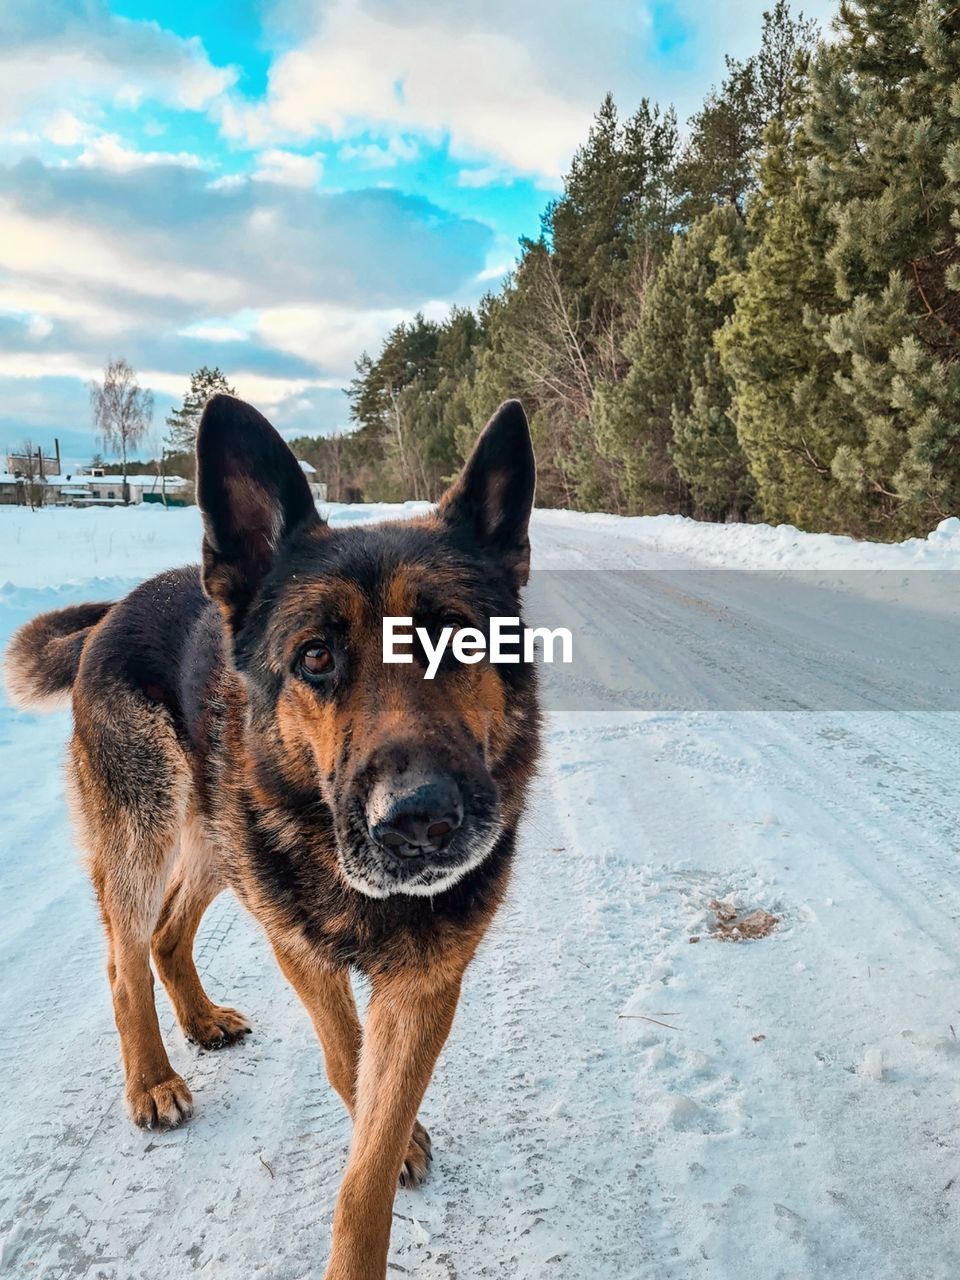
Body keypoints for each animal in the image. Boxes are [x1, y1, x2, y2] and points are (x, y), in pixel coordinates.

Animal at [3, 394, 542, 1274]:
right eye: (316, 657)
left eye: (459, 640)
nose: (419, 820)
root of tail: (113, 610)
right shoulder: (303, 951)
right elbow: (348, 1057)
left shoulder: (425, 985)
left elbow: (368, 1165)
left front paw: (385, 1161)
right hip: (152, 830)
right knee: (125, 956)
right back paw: (151, 1078)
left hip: (222, 843)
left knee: (167, 934)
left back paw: (199, 1020)